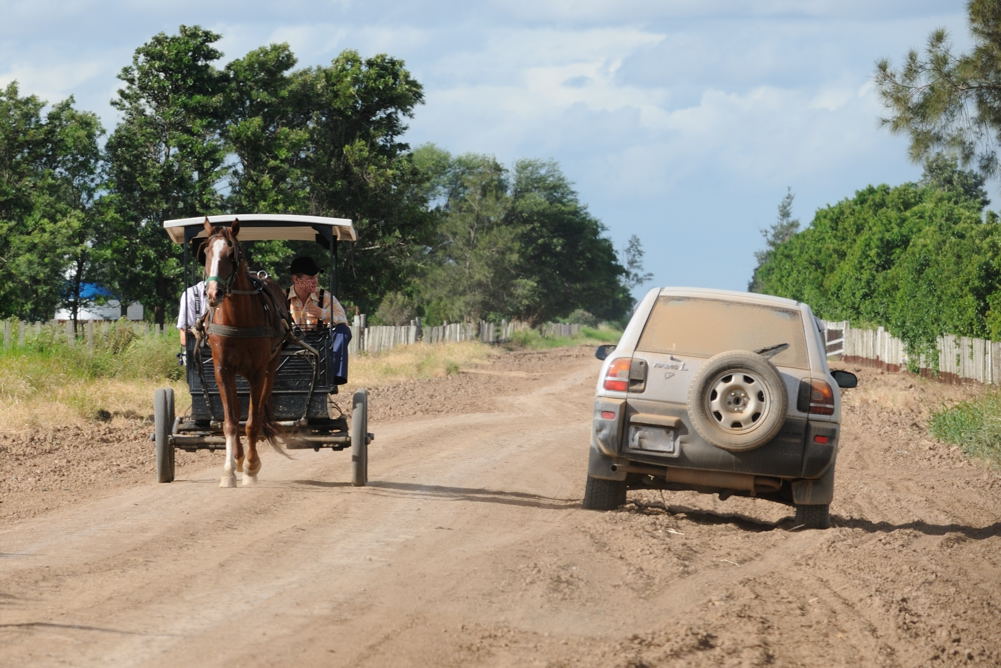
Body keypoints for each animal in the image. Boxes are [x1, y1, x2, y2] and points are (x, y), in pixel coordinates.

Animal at [200, 218, 292, 486]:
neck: (238, 320)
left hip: (269, 371)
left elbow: (252, 423)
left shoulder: (257, 373)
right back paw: (238, 458)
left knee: (258, 412)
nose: (213, 293)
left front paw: (251, 468)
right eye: (206, 252)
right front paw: (229, 471)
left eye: (232, 255)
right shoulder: (222, 371)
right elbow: (231, 423)